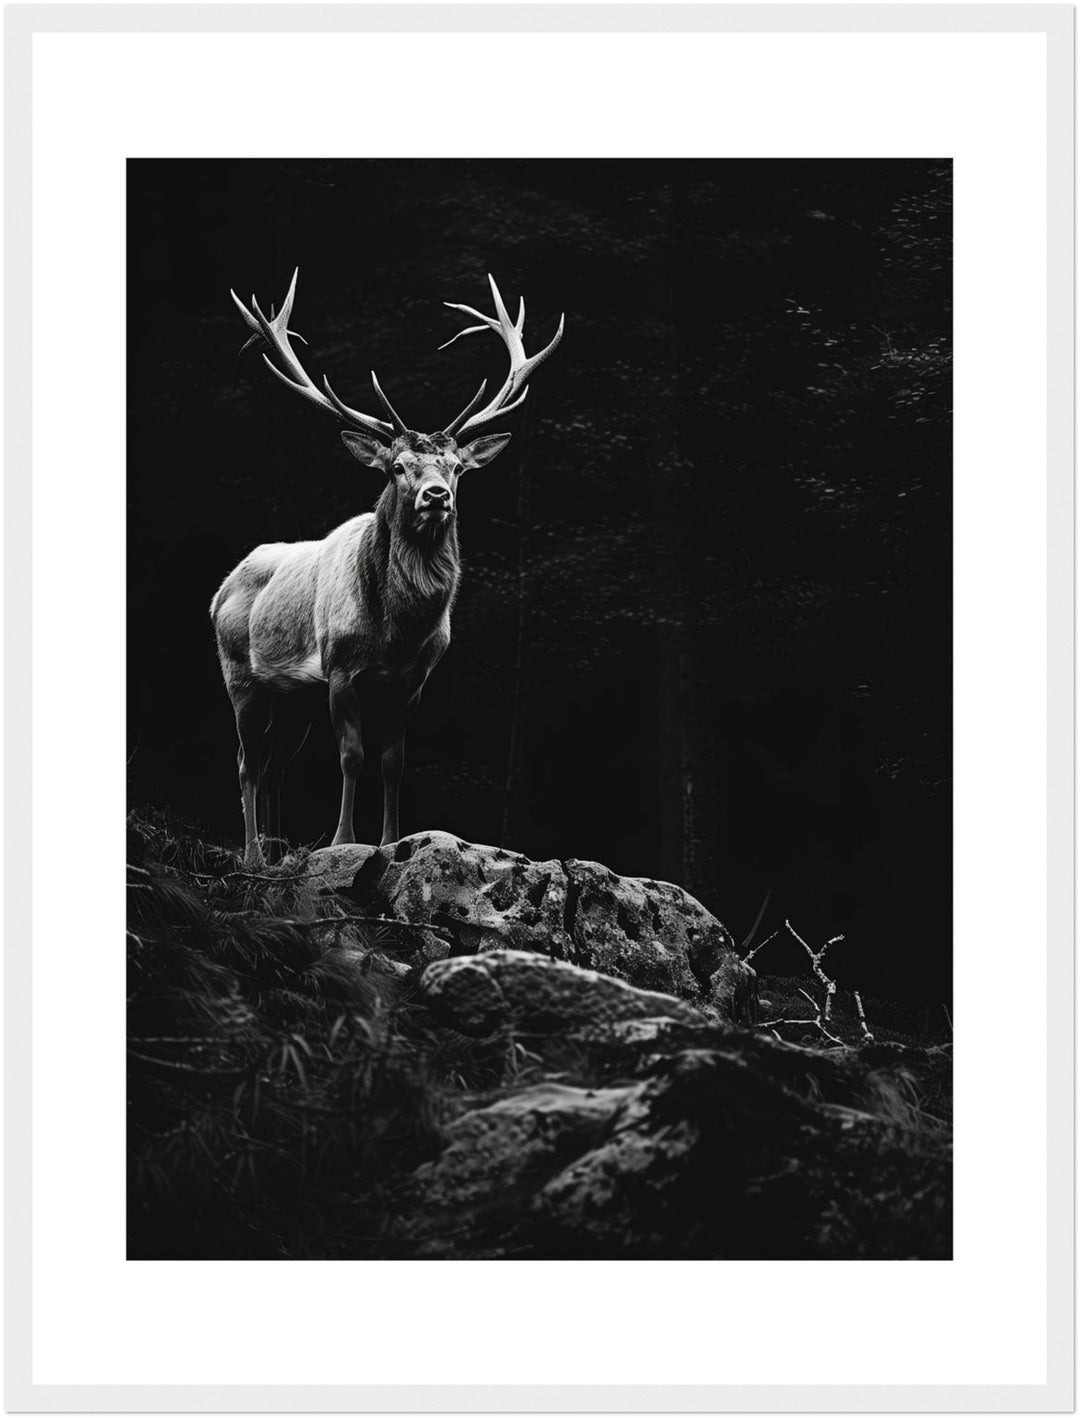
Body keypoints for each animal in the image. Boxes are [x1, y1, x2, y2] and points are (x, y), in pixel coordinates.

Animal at [211, 270, 563, 868]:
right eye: (397, 466)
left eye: (456, 467)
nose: (436, 495)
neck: (396, 632)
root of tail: (220, 589)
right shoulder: (339, 668)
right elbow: (352, 756)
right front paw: (342, 841)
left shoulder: (414, 680)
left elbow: (393, 762)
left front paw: (392, 840)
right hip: (240, 674)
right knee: (246, 762)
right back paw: (254, 856)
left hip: (293, 698)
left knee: (275, 766)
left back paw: (278, 855)